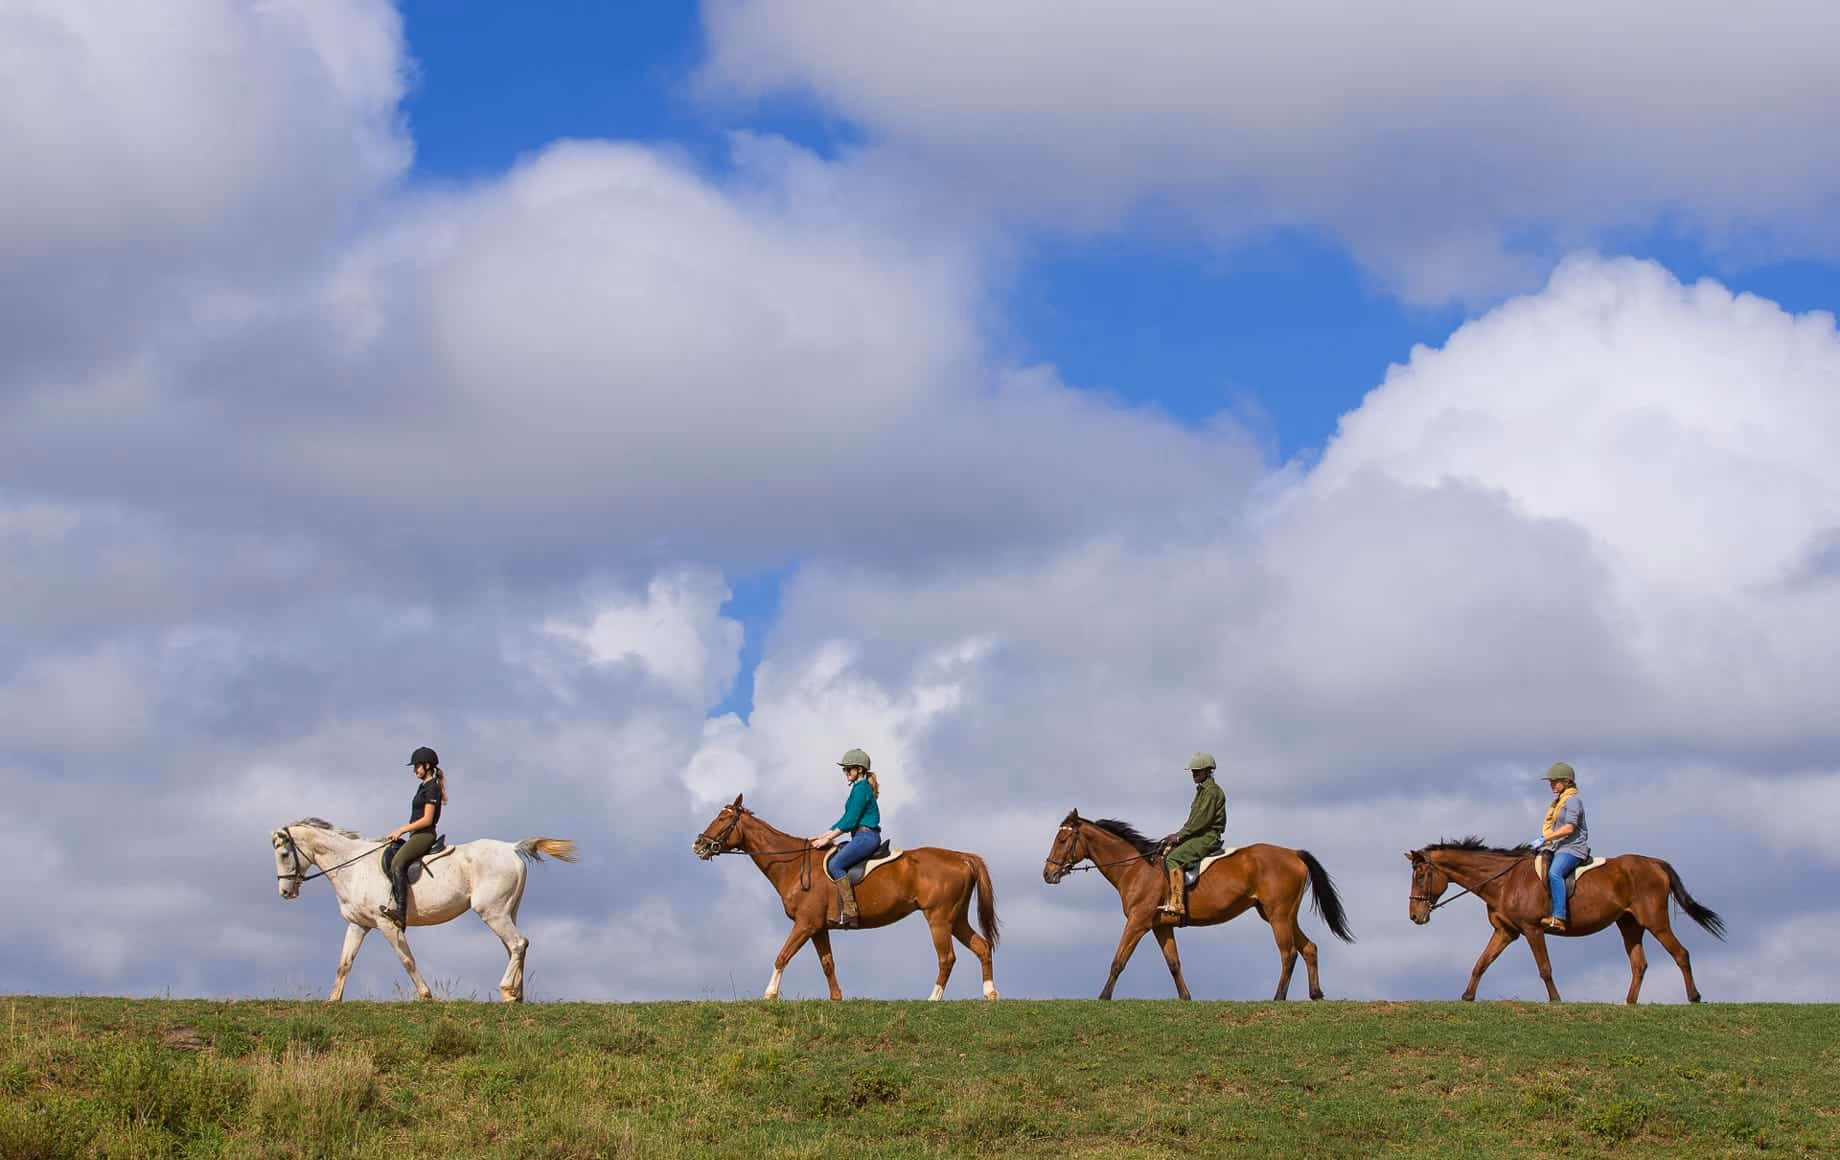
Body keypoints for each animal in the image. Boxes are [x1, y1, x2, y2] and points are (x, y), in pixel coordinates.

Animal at [272, 818, 577, 1003]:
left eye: (284, 854)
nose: (285, 892)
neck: (353, 866)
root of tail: (512, 849)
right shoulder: (359, 924)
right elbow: (344, 963)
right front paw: (333, 999)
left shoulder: (386, 923)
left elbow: (407, 960)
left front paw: (425, 995)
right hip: (506, 911)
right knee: (516, 946)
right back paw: (516, 995)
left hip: (492, 911)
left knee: (517, 943)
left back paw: (506, 990)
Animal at [692, 794, 1000, 1001]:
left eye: (723, 818)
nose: (698, 845)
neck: (792, 863)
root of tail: (962, 857)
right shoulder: (818, 928)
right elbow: (828, 964)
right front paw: (836, 999)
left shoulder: (804, 924)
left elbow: (781, 956)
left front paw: (769, 995)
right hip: (955, 918)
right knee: (982, 947)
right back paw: (990, 995)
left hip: (938, 919)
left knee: (947, 958)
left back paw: (933, 1000)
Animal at [1042, 810, 1354, 1000]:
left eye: (1063, 839)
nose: (1047, 874)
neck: (1136, 868)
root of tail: (1293, 854)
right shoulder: (1160, 926)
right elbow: (1174, 963)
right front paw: (1186, 998)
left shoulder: (1137, 922)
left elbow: (1118, 960)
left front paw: (1103, 997)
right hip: (1281, 915)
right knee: (1308, 947)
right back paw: (1315, 994)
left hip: (1278, 916)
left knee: (1288, 954)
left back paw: (1278, 998)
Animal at [1405, 837, 1726, 1003]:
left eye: (1420, 875)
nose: (1414, 916)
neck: (1505, 880)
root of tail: (1655, 863)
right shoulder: (1506, 931)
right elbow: (1481, 962)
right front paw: (1467, 996)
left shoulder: (1532, 929)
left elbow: (1545, 968)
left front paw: (1556, 1000)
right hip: (1629, 924)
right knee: (1639, 964)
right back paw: (1630, 1003)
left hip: (1655, 921)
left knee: (1681, 954)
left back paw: (1694, 997)